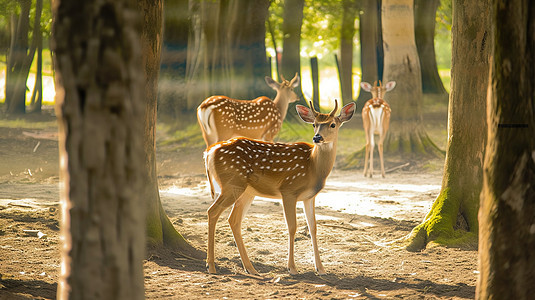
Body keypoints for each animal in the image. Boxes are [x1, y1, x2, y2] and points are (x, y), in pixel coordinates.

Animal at [204, 99, 356, 276]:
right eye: (314, 124)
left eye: (332, 124)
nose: (317, 137)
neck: (313, 166)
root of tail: (209, 153)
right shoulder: (288, 190)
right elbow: (292, 227)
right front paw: (292, 267)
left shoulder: (309, 197)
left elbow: (313, 228)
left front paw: (321, 268)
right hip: (231, 184)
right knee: (213, 211)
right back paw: (211, 266)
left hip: (246, 191)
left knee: (233, 220)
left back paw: (250, 268)